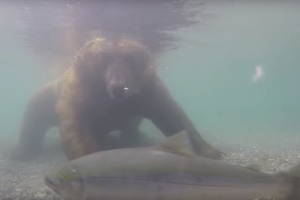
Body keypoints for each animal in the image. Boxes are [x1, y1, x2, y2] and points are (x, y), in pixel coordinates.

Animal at [10, 38, 224, 161]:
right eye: (104, 59)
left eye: (130, 59)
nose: (119, 86)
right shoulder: (78, 91)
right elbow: (75, 127)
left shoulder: (146, 90)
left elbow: (172, 116)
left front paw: (212, 152)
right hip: (44, 98)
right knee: (32, 121)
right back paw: (20, 153)